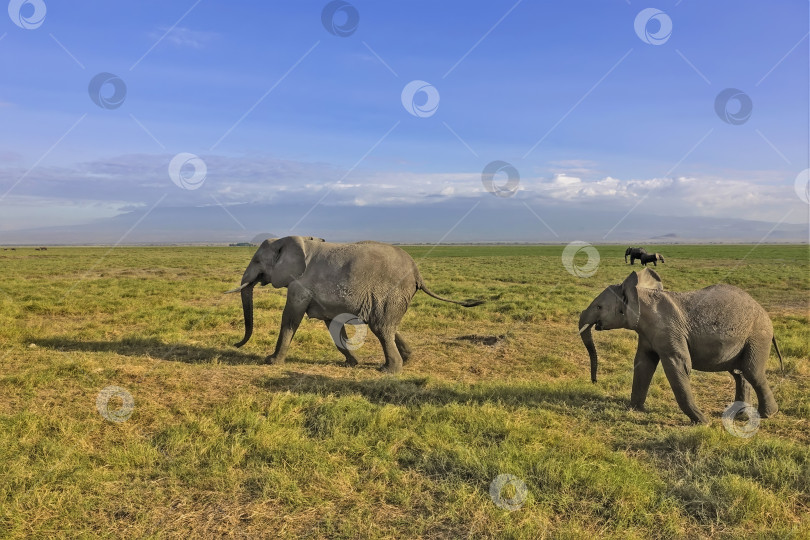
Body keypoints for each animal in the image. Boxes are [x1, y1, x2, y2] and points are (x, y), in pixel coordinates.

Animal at [224, 236, 482, 376]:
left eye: (257, 260)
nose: (235, 344)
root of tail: (417, 272)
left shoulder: (300, 285)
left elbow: (290, 318)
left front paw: (271, 361)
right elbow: (332, 325)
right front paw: (351, 363)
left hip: (391, 291)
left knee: (381, 328)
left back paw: (389, 370)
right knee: (388, 325)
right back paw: (407, 360)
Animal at [576, 268, 780, 424]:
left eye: (599, 307)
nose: (594, 381)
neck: (641, 295)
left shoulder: (669, 330)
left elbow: (678, 365)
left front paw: (703, 422)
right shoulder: (647, 333)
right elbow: (644, 363)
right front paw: (634, 409)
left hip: (757, 336)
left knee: (752, 372)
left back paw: (768, 415)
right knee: (739, 373)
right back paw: (739, 415)